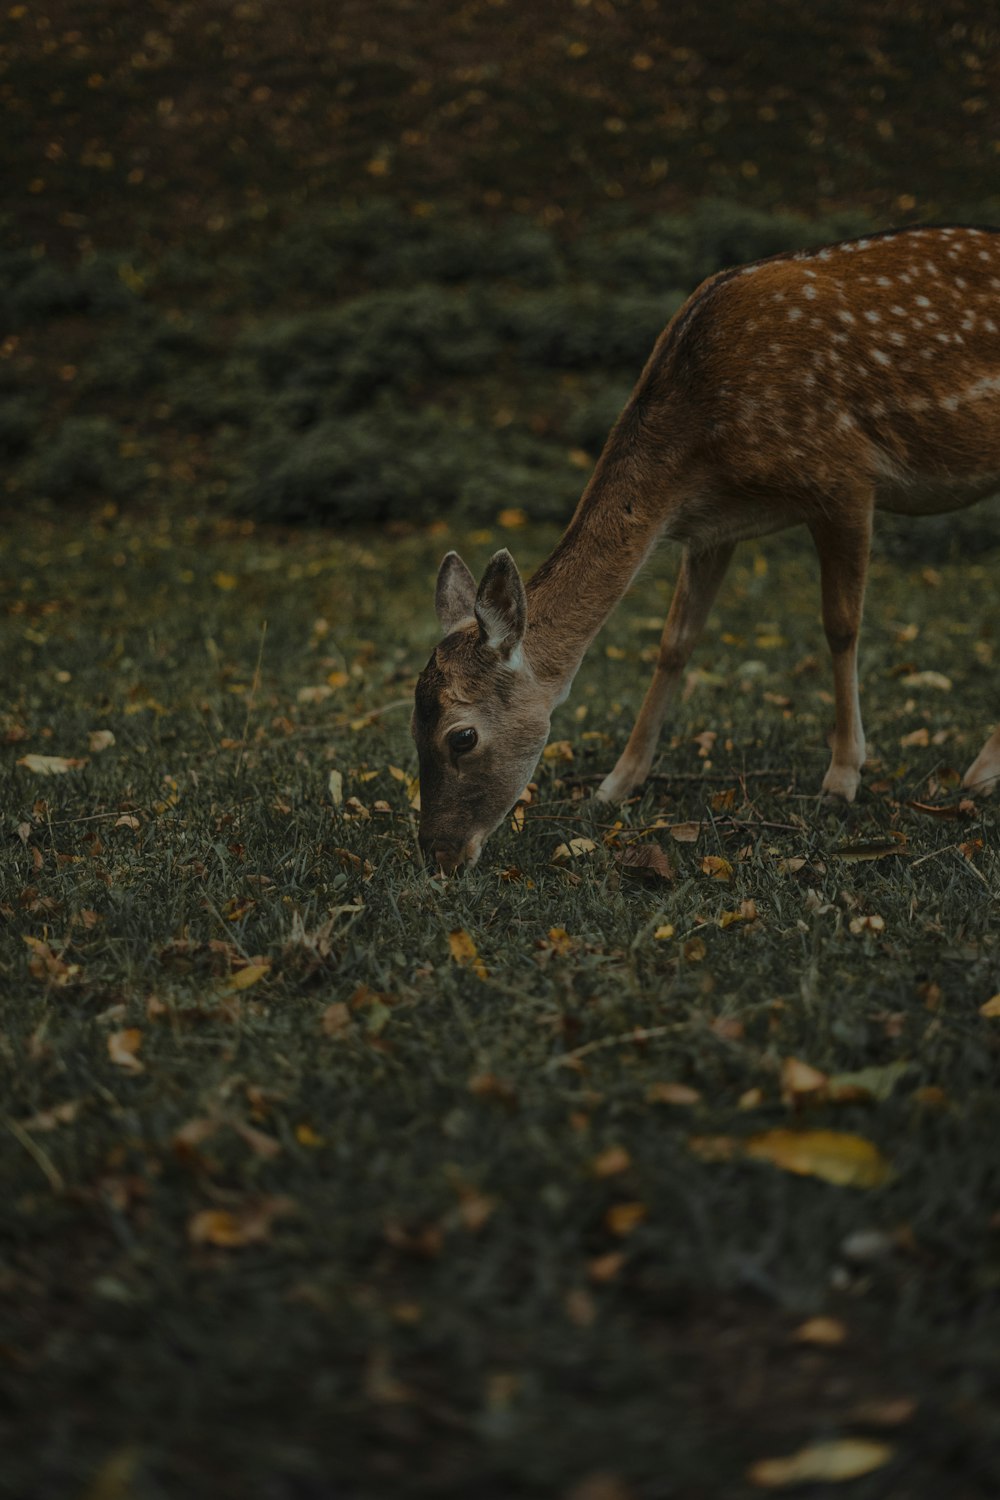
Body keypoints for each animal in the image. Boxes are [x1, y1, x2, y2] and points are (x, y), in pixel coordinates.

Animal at [410, 228, 995, 876]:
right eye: (411, 727)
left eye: (461, 736)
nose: (438, 855)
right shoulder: (713, 528)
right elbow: (675, 643)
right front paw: (615, 785)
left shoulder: (845, 477)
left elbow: (841, 626)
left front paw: (842, 778)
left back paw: (978, 773)